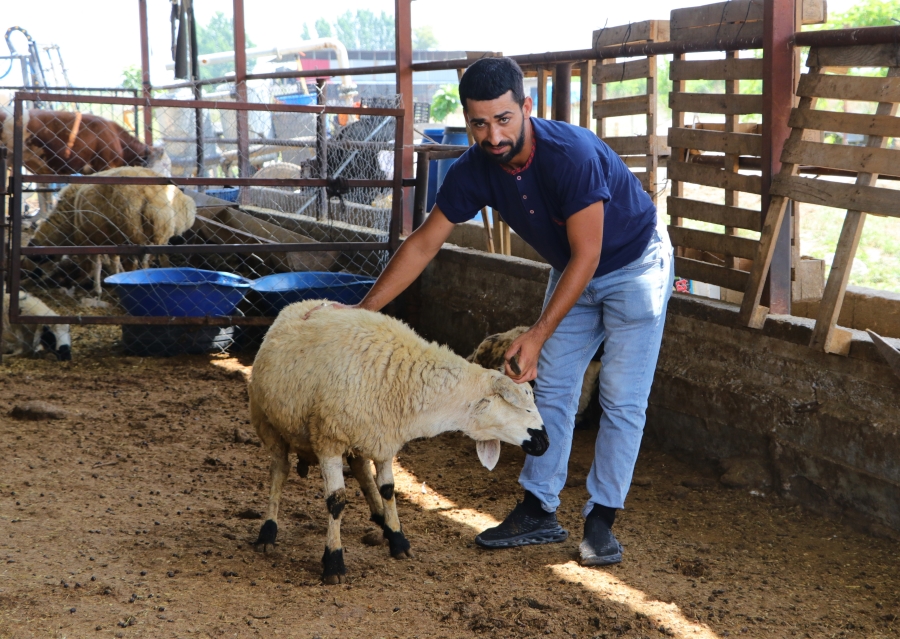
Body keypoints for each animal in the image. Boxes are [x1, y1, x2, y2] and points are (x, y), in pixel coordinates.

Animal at [29, 165, 196, 296]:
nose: (32, 277)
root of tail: (150, 197)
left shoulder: (88, 239)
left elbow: (95, 264)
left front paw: (92, 286)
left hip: (125, 235)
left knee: (132, 262)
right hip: (158, 235)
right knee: (157, 258)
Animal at [246, 302, 548, 588]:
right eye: (518, 403)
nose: (544, 443)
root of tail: (298, 304)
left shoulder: (384, 438)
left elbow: (388, 489)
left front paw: (397, 538)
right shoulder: (329, 438)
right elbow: (336, 501)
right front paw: (333, 562)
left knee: (359, 466)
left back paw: (379, 516)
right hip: (266, 421)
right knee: (279, 471)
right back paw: (267, 533)